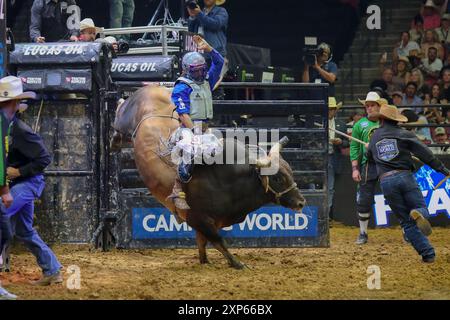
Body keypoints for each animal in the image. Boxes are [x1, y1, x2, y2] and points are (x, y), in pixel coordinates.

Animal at [111, 85, 306, 268]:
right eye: (277, 178)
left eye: (290, 173)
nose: (301, 202)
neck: (230, 181)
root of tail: (151, 87)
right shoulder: (199, 219)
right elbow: (218, 241)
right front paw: (237, 264)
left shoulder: (203, 223)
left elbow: (202, 243)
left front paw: (205, 262)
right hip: (126, 118)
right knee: (119, 117)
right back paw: (115, 133)